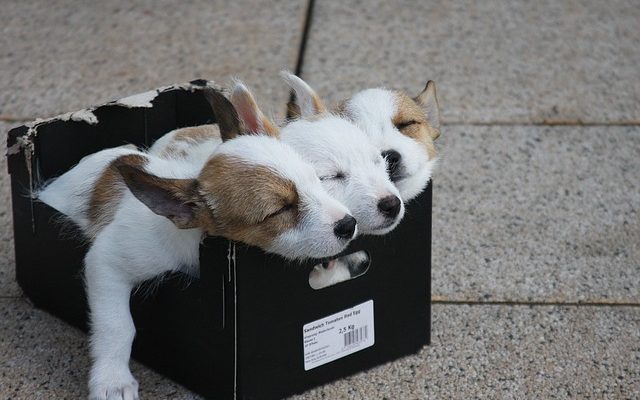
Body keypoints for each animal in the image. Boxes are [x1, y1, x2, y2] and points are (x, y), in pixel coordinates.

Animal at [37, 83, 358, 400]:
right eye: (279, 210)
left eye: (315, 179)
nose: (349, 225)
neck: (196, 244)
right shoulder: (108, 261)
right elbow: (117, 324)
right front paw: (112, 380)